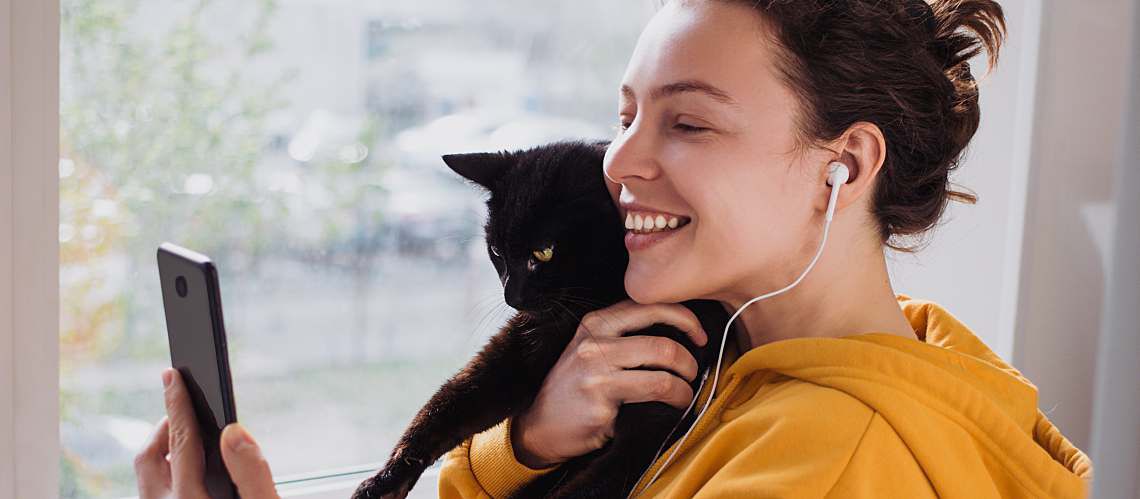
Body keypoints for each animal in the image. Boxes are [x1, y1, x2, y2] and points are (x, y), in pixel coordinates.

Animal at [351, 139, 729, 498]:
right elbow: (446, 406)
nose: (512, 297)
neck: (587, 308)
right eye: (497, 252)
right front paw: (383, 481)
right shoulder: (514, 353)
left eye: (543, 252)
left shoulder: (650, 424)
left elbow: (588, 487)